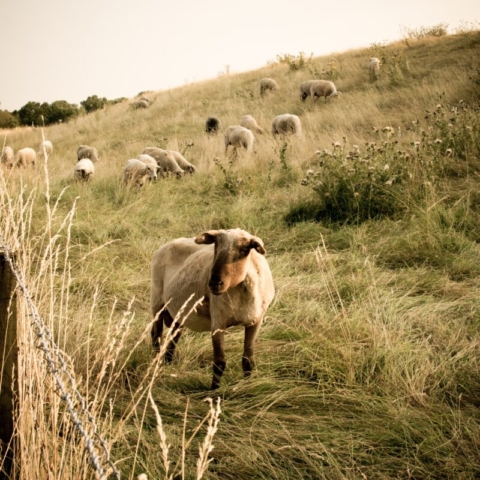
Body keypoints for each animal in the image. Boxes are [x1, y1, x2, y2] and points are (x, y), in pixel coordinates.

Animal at [152, 227, 276, 388]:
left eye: (244, 249)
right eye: (216, 244)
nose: (215, 283)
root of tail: (168, 243)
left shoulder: (255, 321)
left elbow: (248, 360)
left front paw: (247, 385)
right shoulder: (218, 322)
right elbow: (219, 362)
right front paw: (214, 390)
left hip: (179, 312)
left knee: (173, 337)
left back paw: (168, 363)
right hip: (157, 301)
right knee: (156, 335)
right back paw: (157, 365)